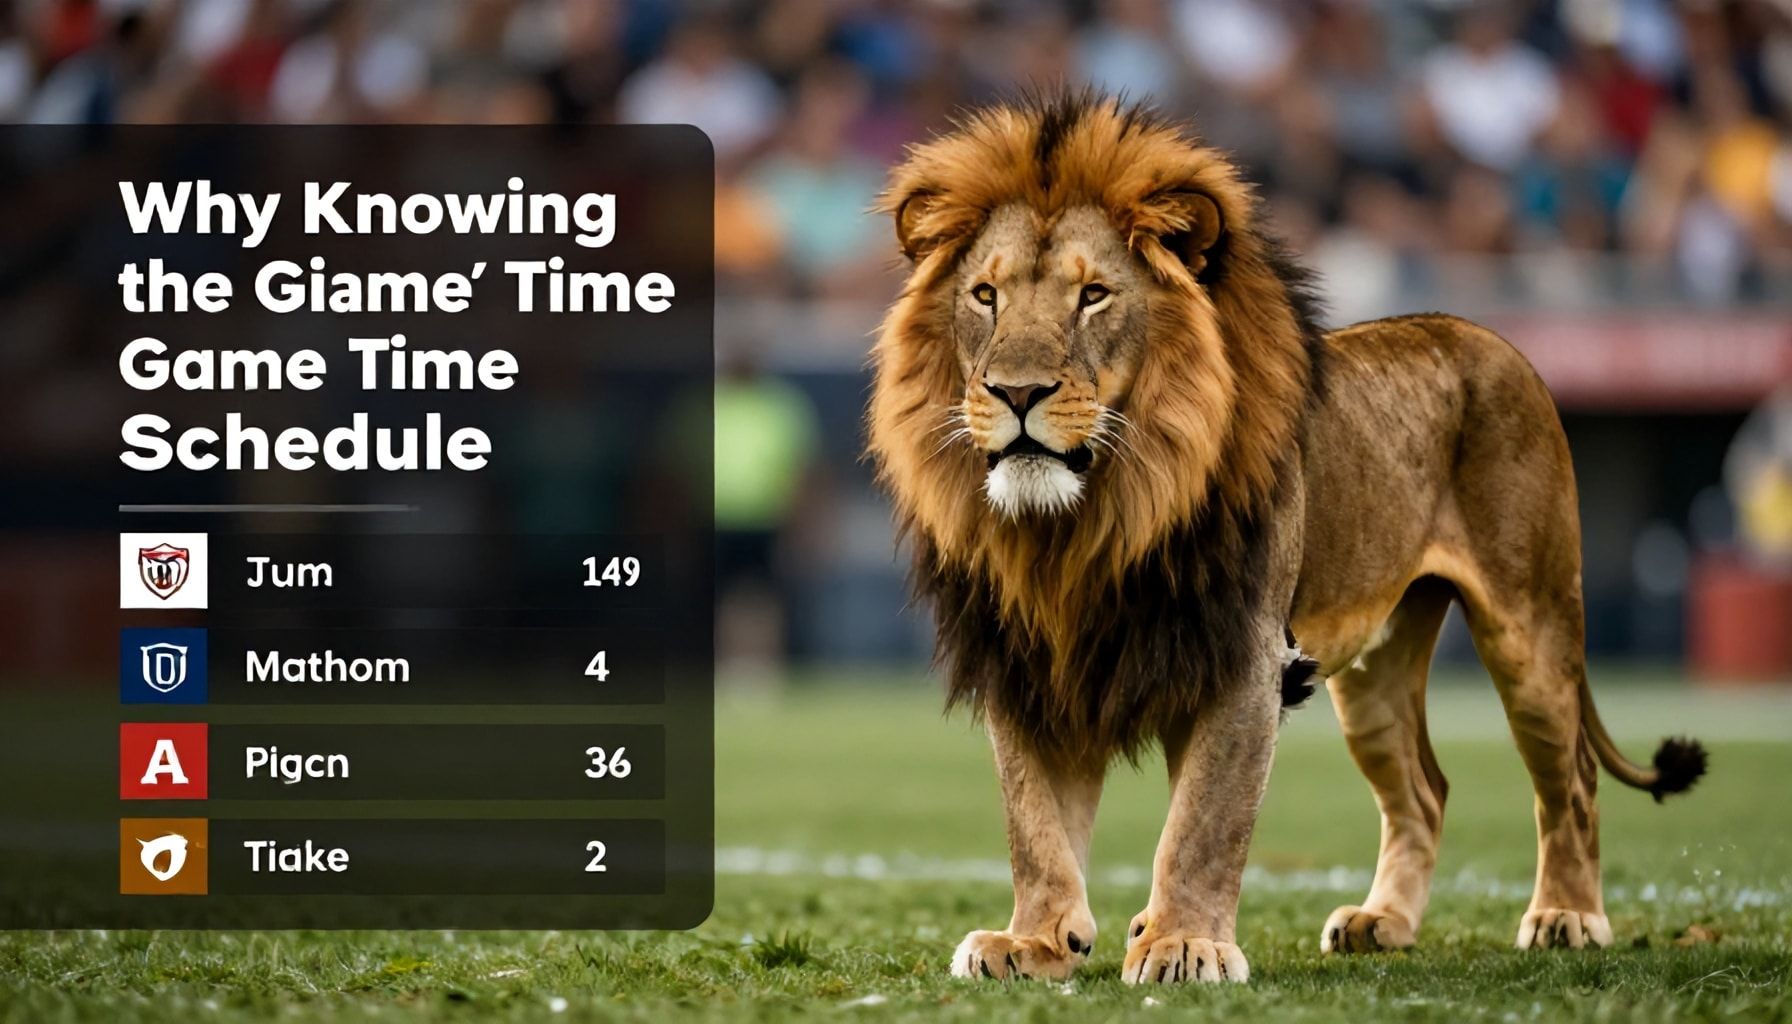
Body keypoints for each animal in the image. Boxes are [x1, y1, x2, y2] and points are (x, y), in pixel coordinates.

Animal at [865, 92, 1707, 985]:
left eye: (1093, 295)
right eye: (985, 296)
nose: (1015, 392)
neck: (1086, 523)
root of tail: (1486, 335)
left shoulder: (1241, 656)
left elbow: (1204, 821)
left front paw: (1183, 944)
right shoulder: (1030, 660)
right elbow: (1034, 823)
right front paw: (1034, 942)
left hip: (1532, 628)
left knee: (1571, 778)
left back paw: (1567, 917)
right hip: (1375, 672)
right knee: (1424, 789)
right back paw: (1382, 922)